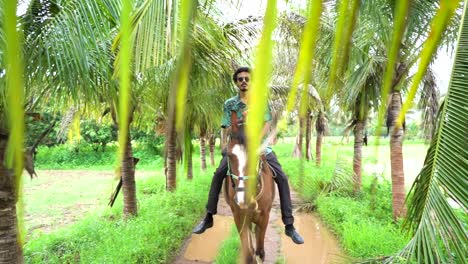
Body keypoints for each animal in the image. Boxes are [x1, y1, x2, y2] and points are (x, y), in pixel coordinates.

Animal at [223, 111, 274, 262]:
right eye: (228, 155)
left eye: (257, 155)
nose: (243, 200)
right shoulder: (238, 216)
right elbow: (248, 254)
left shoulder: (264, 216)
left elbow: (260, 252)